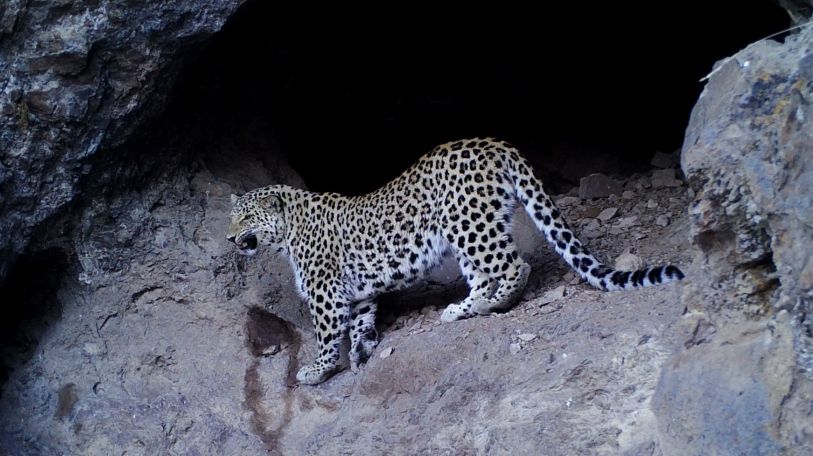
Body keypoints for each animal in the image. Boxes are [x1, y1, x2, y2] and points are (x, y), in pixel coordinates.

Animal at [227, 137, 684, 385]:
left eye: (245, 218)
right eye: (231, 217)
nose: (231, 237)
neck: (286, 233)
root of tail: (494, 143)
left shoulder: (325, 293)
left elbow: (326, 336)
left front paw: (317, 371)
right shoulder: (355, 294)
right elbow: (361, 322)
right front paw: (360, 353)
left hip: (467, 224)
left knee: (515, 265)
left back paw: (489, 304)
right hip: (471, 230)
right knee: (484, 274)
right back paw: (461, 308)